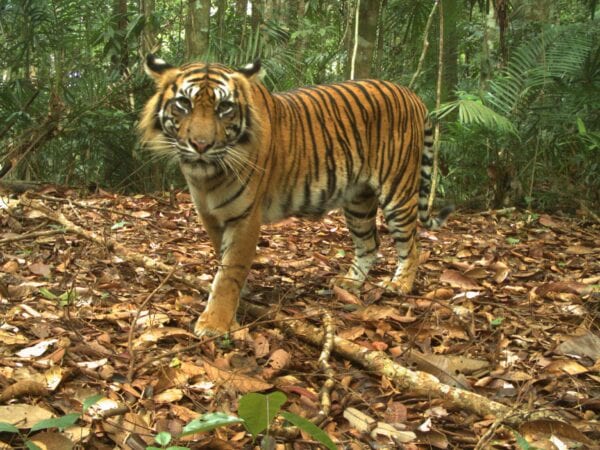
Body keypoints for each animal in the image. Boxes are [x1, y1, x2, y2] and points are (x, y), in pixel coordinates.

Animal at [139, 54, 450, 336]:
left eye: (224, 107)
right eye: (184, 103)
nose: (201, 145)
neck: (206, 177)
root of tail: (412, 95)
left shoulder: (245, 218)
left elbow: (230, 269)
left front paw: (215, 323)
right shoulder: (210, 216)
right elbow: (222, 257)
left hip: (398, 191)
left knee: (412, 245)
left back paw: (399, 285)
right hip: (358, 201)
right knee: (370, 243)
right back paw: (350, 283)